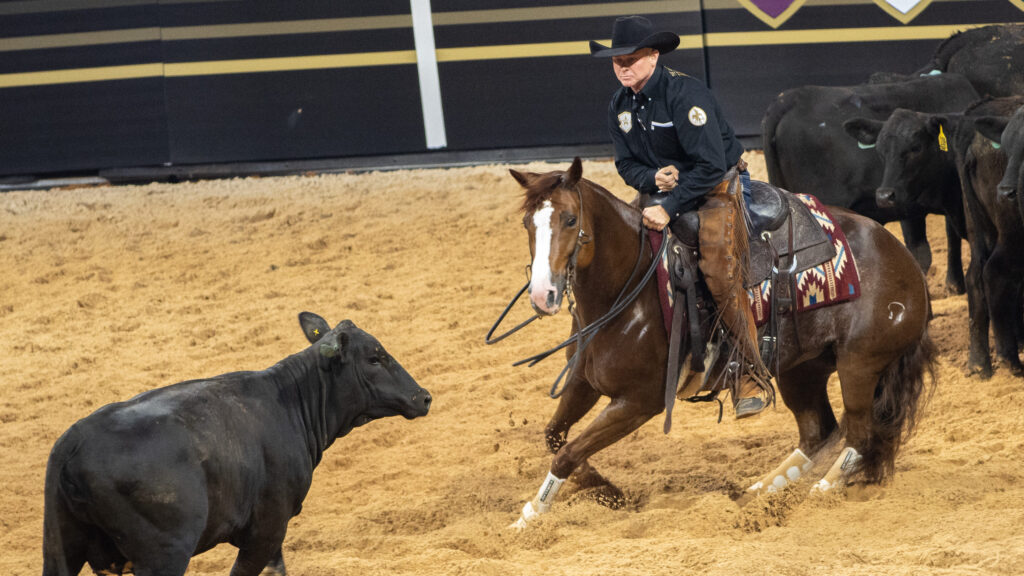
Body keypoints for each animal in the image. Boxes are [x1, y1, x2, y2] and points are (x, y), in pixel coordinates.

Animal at [42, 313, 431, 576]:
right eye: (375, 358)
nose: (423, 397)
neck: (289, 403)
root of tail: (74, 442)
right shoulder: (267, 529)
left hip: (63, 547)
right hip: (163, 554)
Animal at [506, 157, 935, 527]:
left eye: (570, 219)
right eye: (528, 223)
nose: (543, 295)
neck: (631, 288)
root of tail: (902, 258)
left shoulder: (638, 402)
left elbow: (568, 452)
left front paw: (529, 517)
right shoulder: (584, 381)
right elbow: (555, 437)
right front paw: (603, 489)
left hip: (859, 365)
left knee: (860, 434)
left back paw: (820, 492)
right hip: (801, 368)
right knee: (818, 430)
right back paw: (759, 492)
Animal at [844, 97, 1024, 378]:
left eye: (915, 147)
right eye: (881, 151)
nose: (884, 195)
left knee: (976, 277)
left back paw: (979, 362)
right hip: (1009, 229)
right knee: (996, 273)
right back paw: (1009, 361)